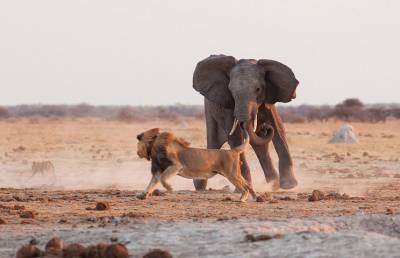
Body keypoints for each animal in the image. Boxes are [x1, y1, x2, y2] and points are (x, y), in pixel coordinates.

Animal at [137, 126, 272, 203]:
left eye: (138, 143)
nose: (137, 152)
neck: (154, 148)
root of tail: (232, 150)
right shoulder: (158, 170)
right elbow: (152, 183)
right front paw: (143, 195)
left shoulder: (176, 166)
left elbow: (163, 179)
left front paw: (170, 188)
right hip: (233, 173)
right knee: (247, 183)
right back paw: (256, 198)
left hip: (231, 174)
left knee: (244, 186)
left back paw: (243, 198)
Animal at [192, 54, 298, 190]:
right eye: (231, 91)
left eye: (258, 89)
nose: (265, 128)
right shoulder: (228, 103)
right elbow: (235, 137)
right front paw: (243, 188)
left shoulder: (269, 97)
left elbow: (278, 128)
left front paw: (290, 186)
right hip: (209, 112)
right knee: (214, 142)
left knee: (259, 144)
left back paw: (273, 185)